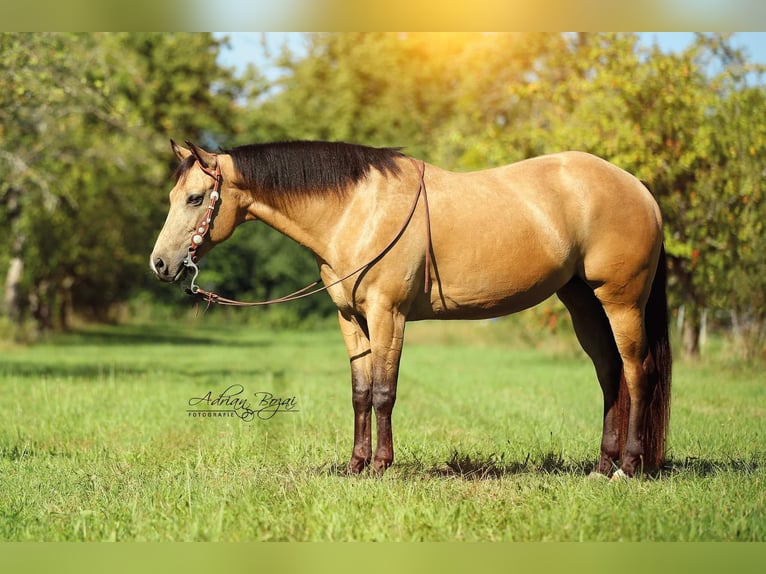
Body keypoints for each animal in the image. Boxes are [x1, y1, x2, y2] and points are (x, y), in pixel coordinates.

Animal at [150, 139, 671, 479]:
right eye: (175, 196)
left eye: (196, 198)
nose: (160, 264)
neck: (357, 209)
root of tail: (637, 186)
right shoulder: (352, 321)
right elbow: (360, 393)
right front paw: (355, 465)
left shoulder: (389, 315)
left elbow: (384, 392)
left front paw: (381, 466)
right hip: (582, 301)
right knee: (609, 375)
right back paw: (601, 466)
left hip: (621, 301)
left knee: (636, 372)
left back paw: (628, 467)